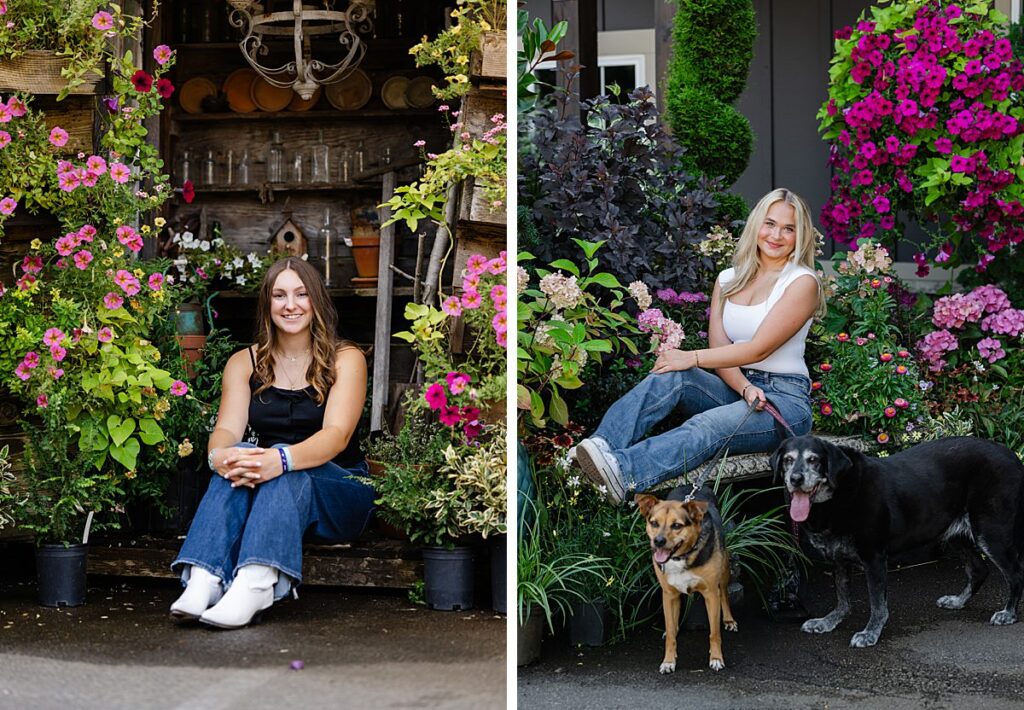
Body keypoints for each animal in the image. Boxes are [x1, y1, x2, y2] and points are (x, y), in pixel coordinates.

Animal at [634, 485, 733, 672]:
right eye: (654, 523)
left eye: (676, 525)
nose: (658, 541)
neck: (680, 557)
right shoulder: (669, 594)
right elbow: (671, 633)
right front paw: (668, 661)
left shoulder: (711, 594)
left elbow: (714, 632)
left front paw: (716, 658)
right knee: (672, 623)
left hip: (724, 568)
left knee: (724, 593)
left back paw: (729, 620)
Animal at [774, 434, 1024, 643]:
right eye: (787, 460)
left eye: (814, 459)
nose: (795, 479)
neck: (838, 495)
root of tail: (1012, 456)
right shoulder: (838, 559)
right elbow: (843, 598)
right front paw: (828, 622)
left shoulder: (874, 558)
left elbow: (877, 604)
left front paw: (870, 633)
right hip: (956, 533)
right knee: (979, 570)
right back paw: (958, 601)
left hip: (990, 533)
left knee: (1015, 574)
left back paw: (1008, 613)